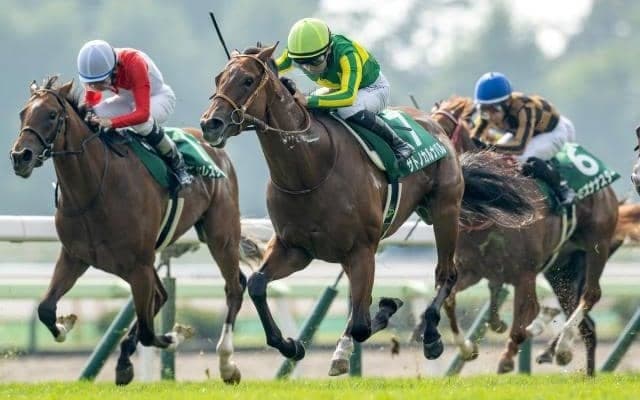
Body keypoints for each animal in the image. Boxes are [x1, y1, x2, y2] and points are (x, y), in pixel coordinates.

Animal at [9, 76, 262, 385]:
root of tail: (215, 147)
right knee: (162, 296)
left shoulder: (138, 265)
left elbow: (148, 332)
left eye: (52, 115)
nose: (20, 156)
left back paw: (227, 365)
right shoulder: (75, 257)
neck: (94, 188)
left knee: (234, 286)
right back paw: (124, 360)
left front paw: (176, 336)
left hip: (220, 234)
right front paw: (65, 325)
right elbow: (45, 309)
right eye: (23, 113)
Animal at [199, 44, 537, 375]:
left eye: (247, 80)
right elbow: (257, 285)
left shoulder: (361, 250)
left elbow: (362, 323)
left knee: (446, 273)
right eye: (218, 79)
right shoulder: (295, 248)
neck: (310, 169)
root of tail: (435, 125)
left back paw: (430, 335)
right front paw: (291, 345)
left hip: (445, 210)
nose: (209, 123)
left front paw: (387, 310)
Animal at [420, 96, 620, 375]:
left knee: (591, 295)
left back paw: (562, 348)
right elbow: (449, 302)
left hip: (596, 245)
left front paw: (507, 356)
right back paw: (580, 366)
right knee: (587, 325)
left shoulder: (524, 274)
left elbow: (522, 320)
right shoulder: (472, 270)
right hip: (562, 267)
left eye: (444, 128)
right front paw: (468, 349)